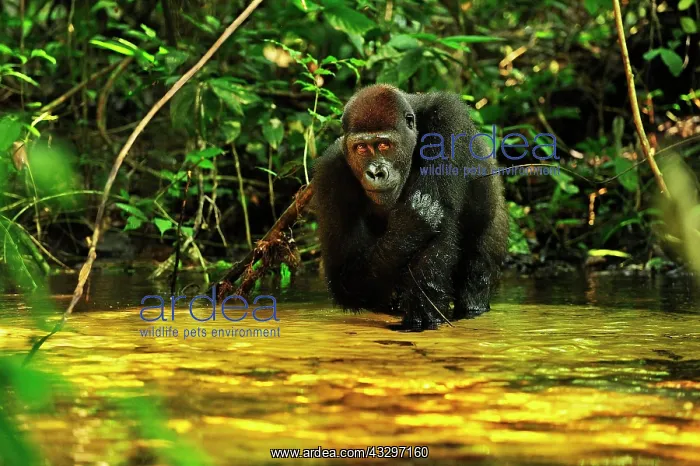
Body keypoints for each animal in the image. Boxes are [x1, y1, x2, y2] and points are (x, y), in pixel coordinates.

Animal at [312, 84, 510, 331]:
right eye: (361, 148)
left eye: (384, 145)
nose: (375, 173)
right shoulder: (330, 173)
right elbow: (344, 275)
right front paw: (407, 229)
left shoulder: (446, 120)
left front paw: (422, 318)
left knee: (478, 267)